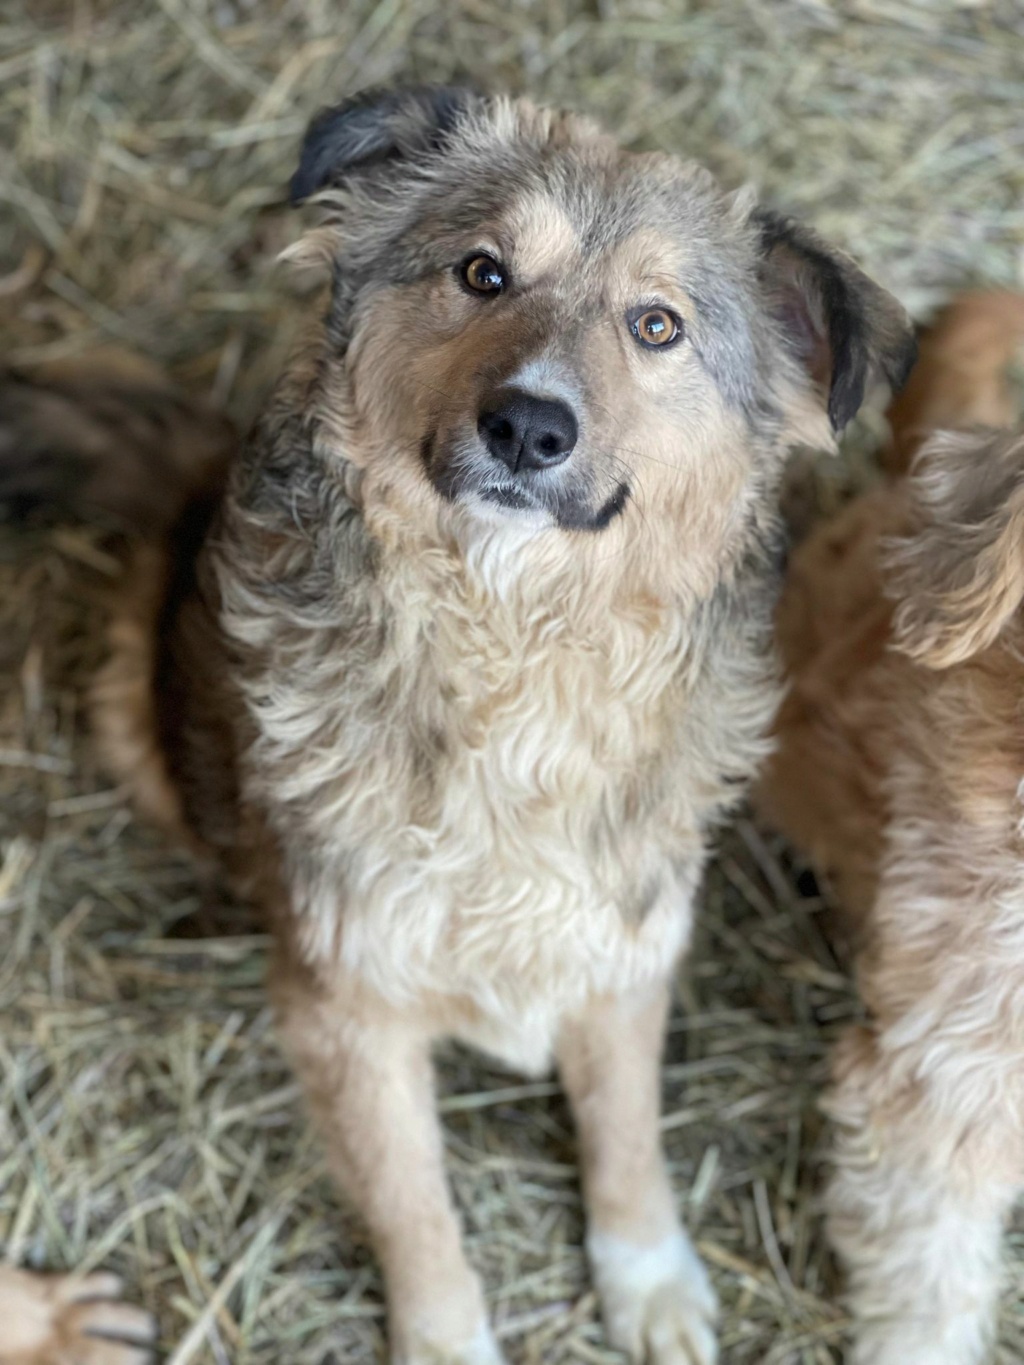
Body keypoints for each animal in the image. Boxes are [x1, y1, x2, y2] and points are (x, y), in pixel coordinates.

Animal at [0, 85, 912, 1365]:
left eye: (657, 326)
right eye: (482, 273)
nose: (527, 427)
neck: (509, 647)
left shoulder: (625, 947)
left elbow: (625, 1135)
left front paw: (647, 1275)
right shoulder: (345, 1010)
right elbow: (412, 1205)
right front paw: (444, 1333)